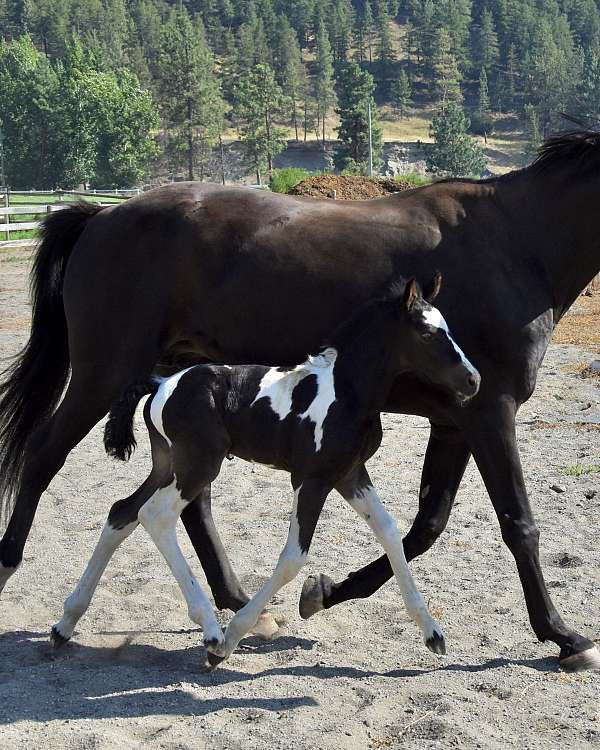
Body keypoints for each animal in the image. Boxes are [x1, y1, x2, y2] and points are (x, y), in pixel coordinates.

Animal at [50, 277, 480, 667]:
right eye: (427, 332)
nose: (473, 379)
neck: (346, 392)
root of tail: (160, 383)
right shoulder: (311, 479)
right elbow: (293, 557)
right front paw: (230, 639)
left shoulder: (351, 474)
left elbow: (389, 532)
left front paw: (433, 633)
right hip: (197, 466)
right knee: (154, 516)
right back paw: (210, 630)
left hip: (168, 465)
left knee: (122, 512)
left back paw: (65, 623)